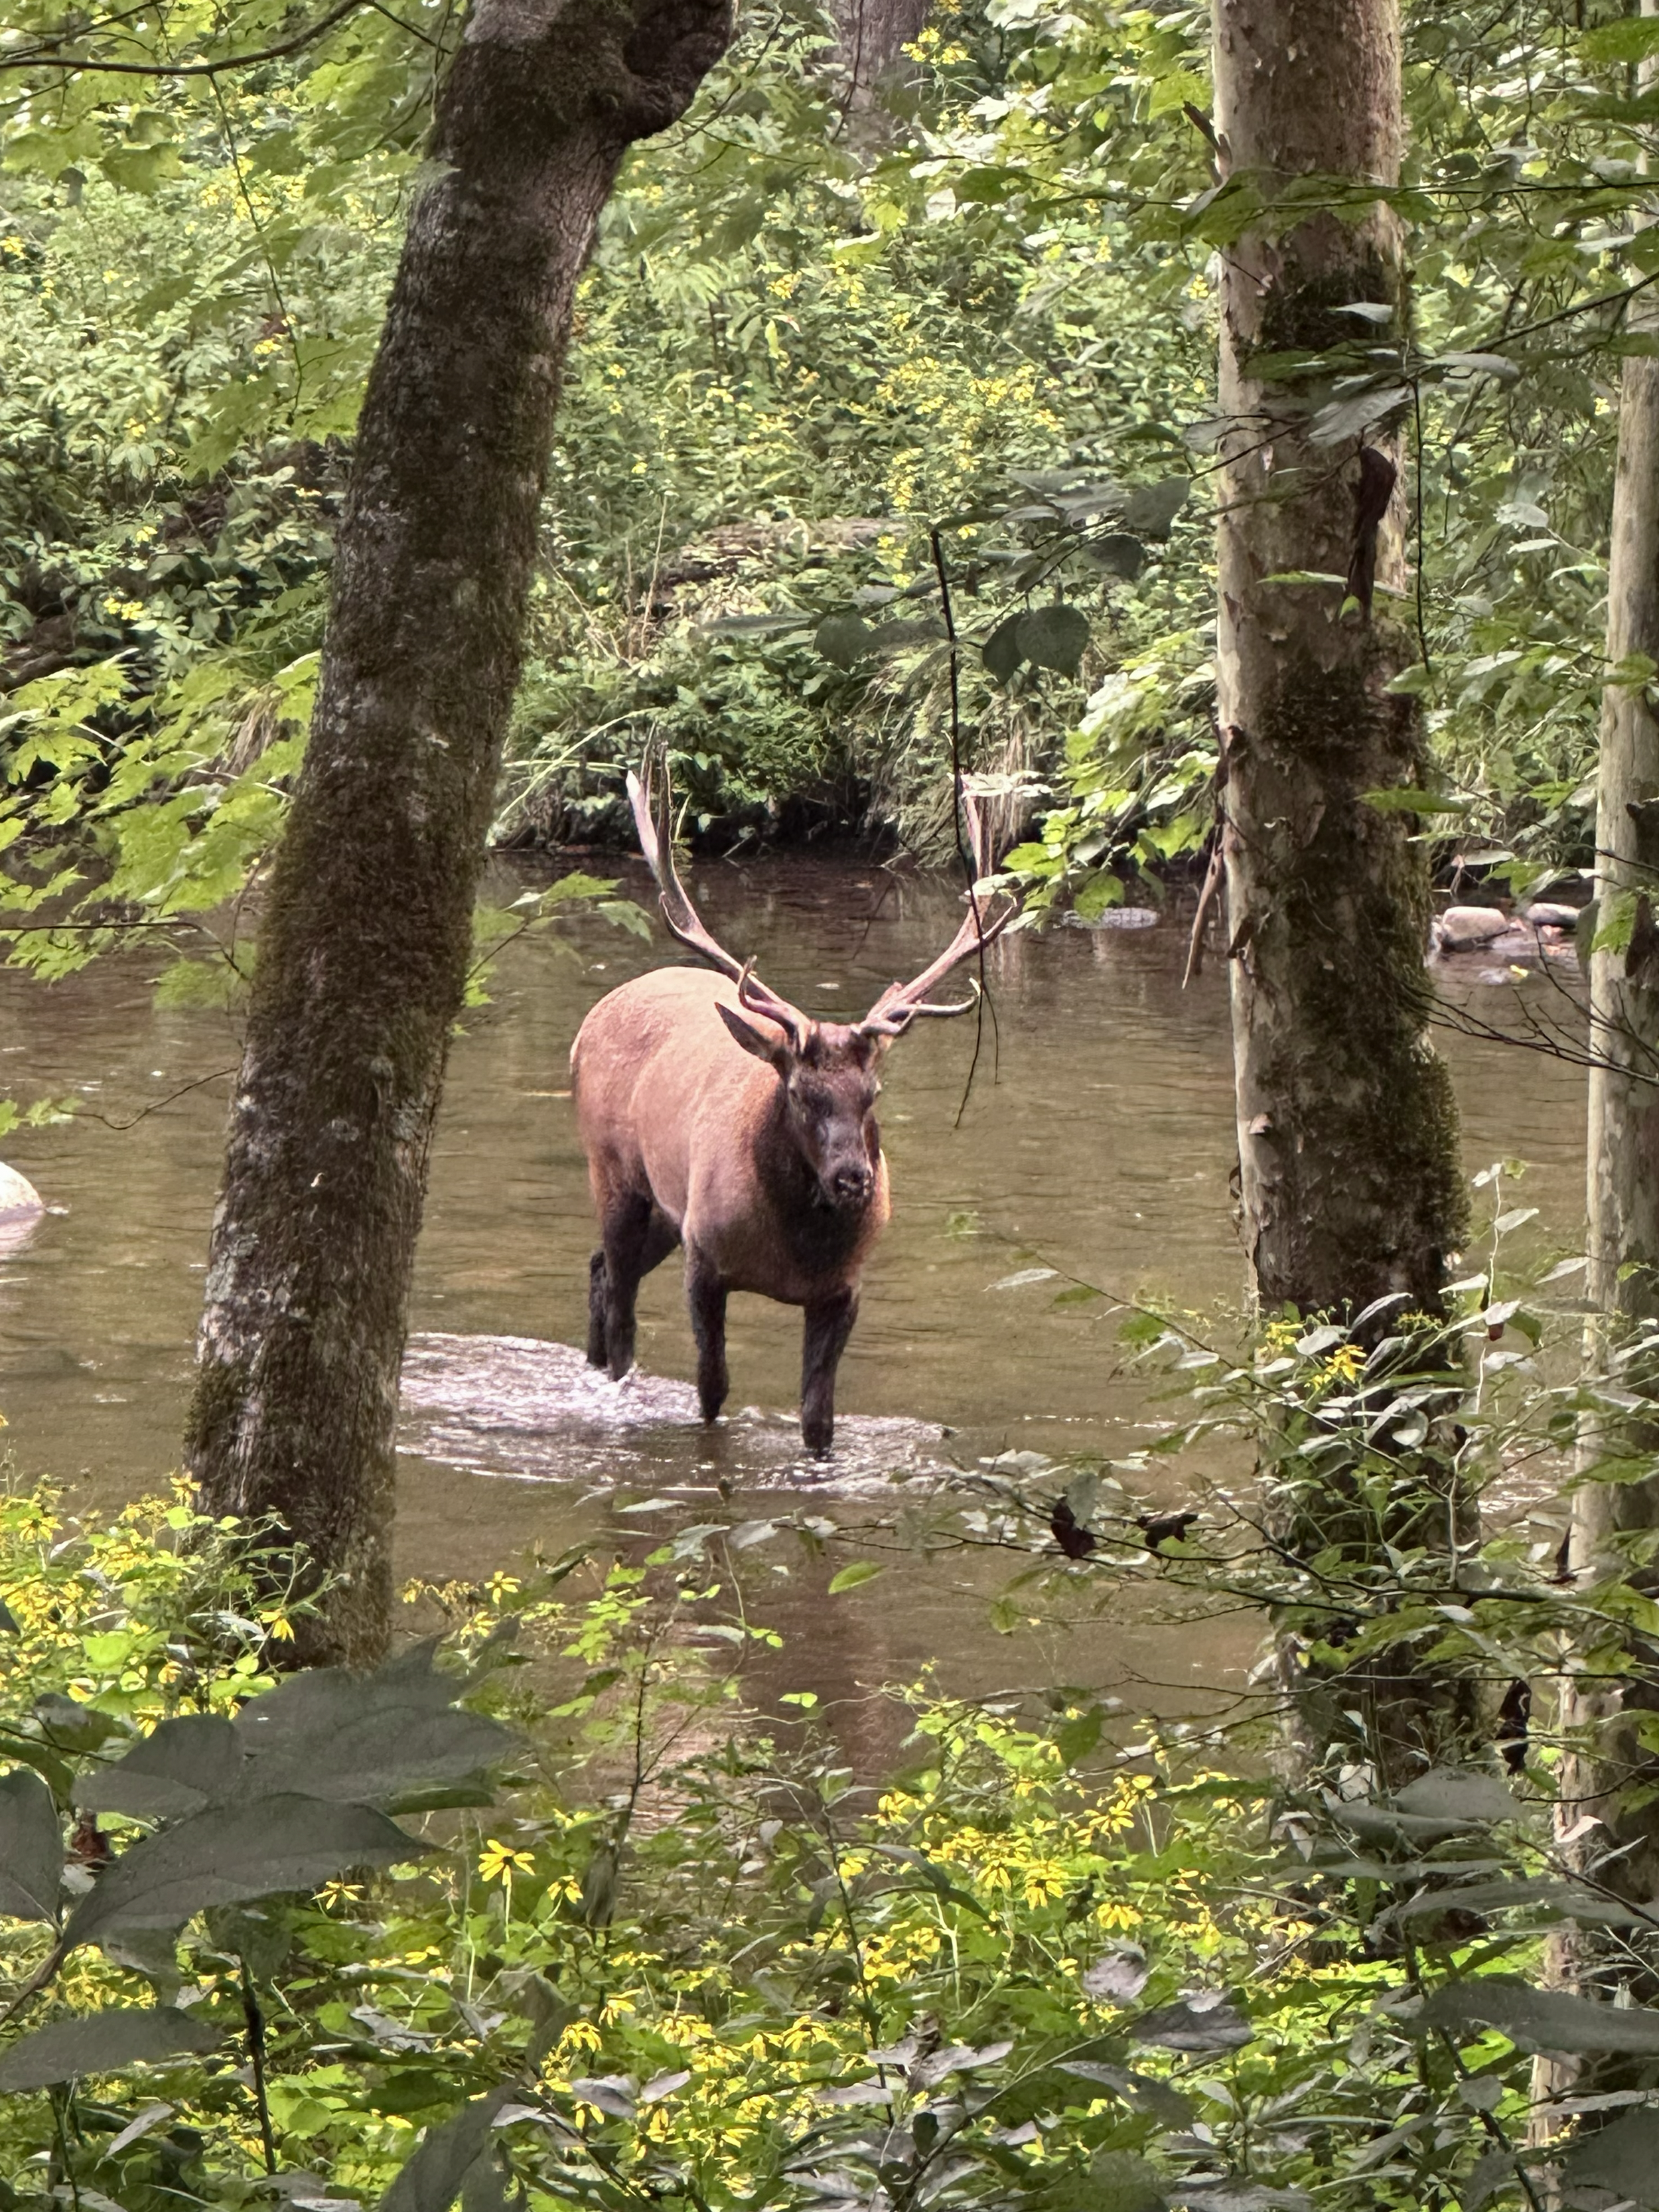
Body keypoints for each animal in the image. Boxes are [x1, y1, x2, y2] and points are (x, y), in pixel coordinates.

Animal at [570, 756, 1017, 1453]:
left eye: (873, 1093)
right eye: (801, 1093)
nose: (854, 1178)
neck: (792, 1251)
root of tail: (588, 1023)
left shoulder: (842, 1289)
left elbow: (818, 1417)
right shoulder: (706, 1259)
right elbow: (712, 1390)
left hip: (666, 1210)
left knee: (598, 1273)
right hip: (614, 1171)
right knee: (619, 1307)